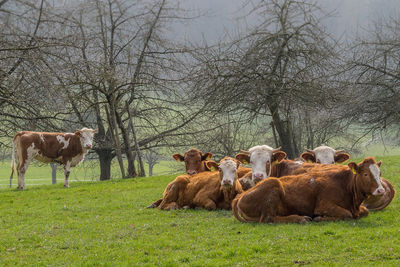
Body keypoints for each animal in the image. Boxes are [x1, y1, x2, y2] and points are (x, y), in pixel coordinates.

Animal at [233, 157, 386, 224]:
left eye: (379, 173)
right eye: (365, 174)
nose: (380, 190)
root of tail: (241, 196)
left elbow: (365, 211)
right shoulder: (324, 206)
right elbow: (346, 214)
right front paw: (319, 218)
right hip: (273, 184)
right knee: (268, 218)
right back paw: (300, 218)